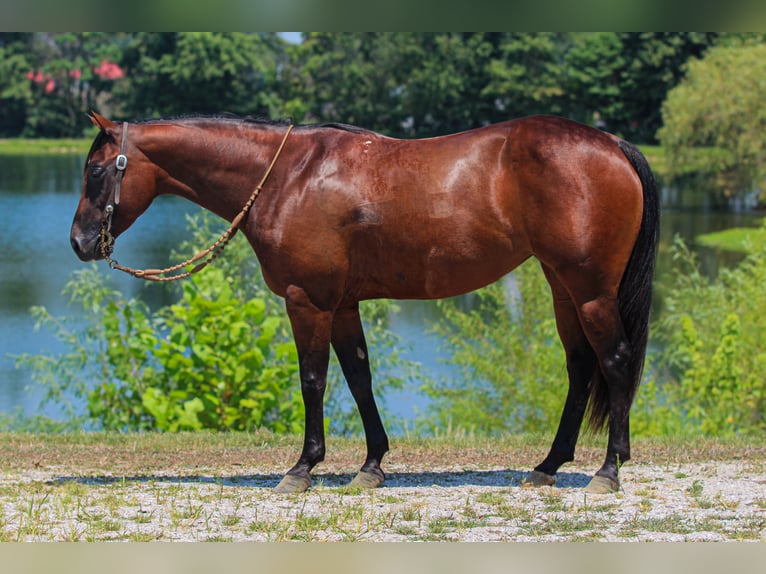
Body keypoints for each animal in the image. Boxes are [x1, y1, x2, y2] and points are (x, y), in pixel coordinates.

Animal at [71, 112, 658, 494]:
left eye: (96, 171)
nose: (79, 243)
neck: (290, 177)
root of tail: (612, 144)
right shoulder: (343, 306)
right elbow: (359, 378)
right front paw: (372, 466)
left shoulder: (308, 302)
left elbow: (313, 381)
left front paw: (302, 469)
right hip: (563, 287)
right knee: (580, 367)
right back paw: (549, 465)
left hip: (590, 290)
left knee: (614, 361)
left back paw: (608, 471)